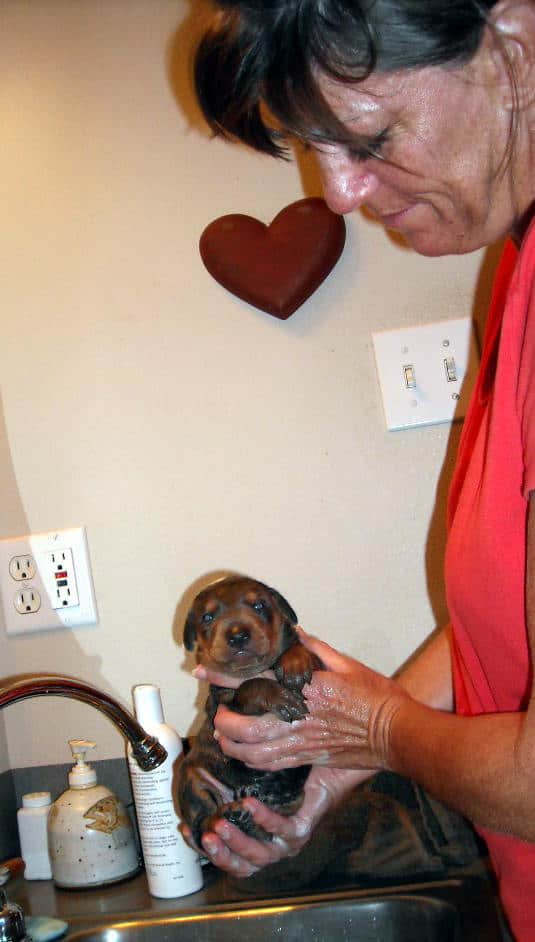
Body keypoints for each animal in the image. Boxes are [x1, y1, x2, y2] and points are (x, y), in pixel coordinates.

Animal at [177, 576, 322, 848]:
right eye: (208, 617)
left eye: (259, 606)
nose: (237, 635)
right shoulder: (224, 702)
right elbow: (251, 685)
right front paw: (281, 698)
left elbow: (297, 647)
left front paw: (295, 663)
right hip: (193, 776)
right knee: (203, 821)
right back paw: (228, 815)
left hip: (296, 796)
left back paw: (252, 821)